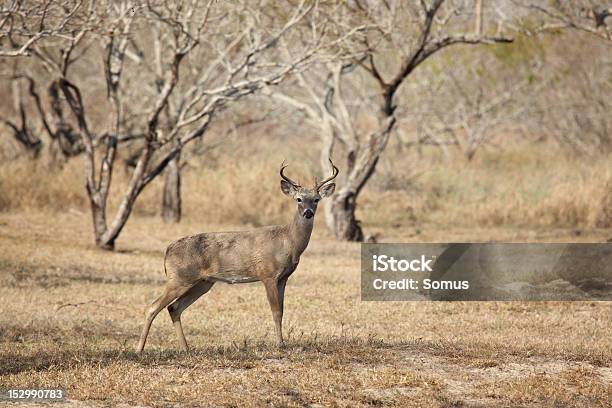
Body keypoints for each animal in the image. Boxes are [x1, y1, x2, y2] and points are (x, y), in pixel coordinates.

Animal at [136, 159, 340, 354]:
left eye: (316, 199)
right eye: (298, 199)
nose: (308, 213)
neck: (288, 241)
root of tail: (167, 250)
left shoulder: (283, 277)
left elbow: (281, 311)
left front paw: (282, 342)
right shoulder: (267, 274)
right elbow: (275, 311)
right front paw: (280, 344)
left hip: (202, 283)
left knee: (174, 308)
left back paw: (186, 349)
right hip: (179, 278)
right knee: (152, 307)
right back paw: (139, 349)